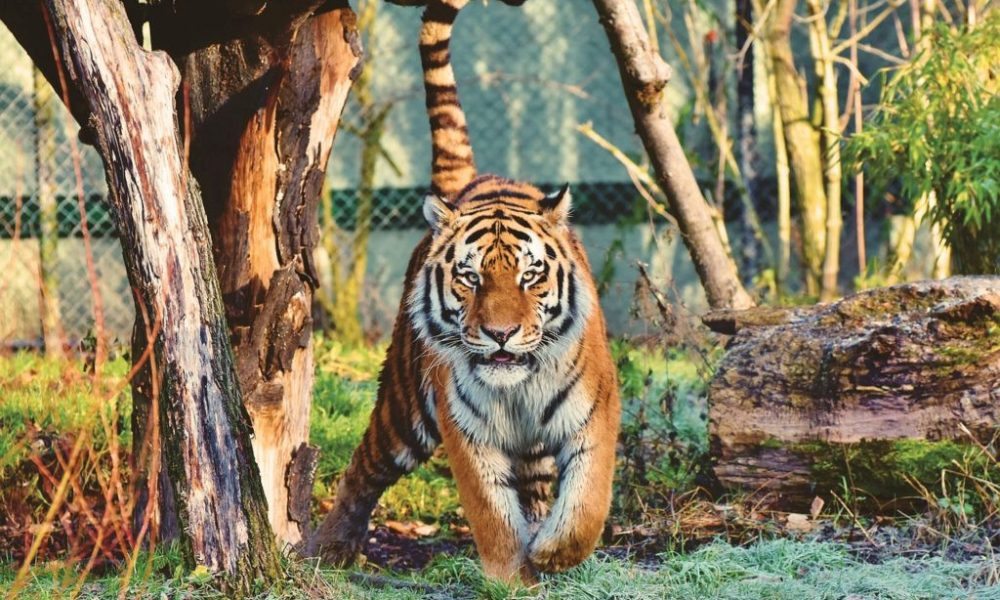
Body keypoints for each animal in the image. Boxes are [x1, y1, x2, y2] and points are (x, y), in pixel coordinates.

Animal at [309, 0, 621, 582]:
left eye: (530, 275)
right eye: (470, 277)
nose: (500, 334)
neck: (519, 388)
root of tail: (470, 183)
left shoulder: (594, 416)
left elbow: (587, 504)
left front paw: (551, 552)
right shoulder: (467, 432)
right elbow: (491, 514)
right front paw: (511, 576)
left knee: (537, 487)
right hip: (403, 407)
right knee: (364, 467)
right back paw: (327, 548)